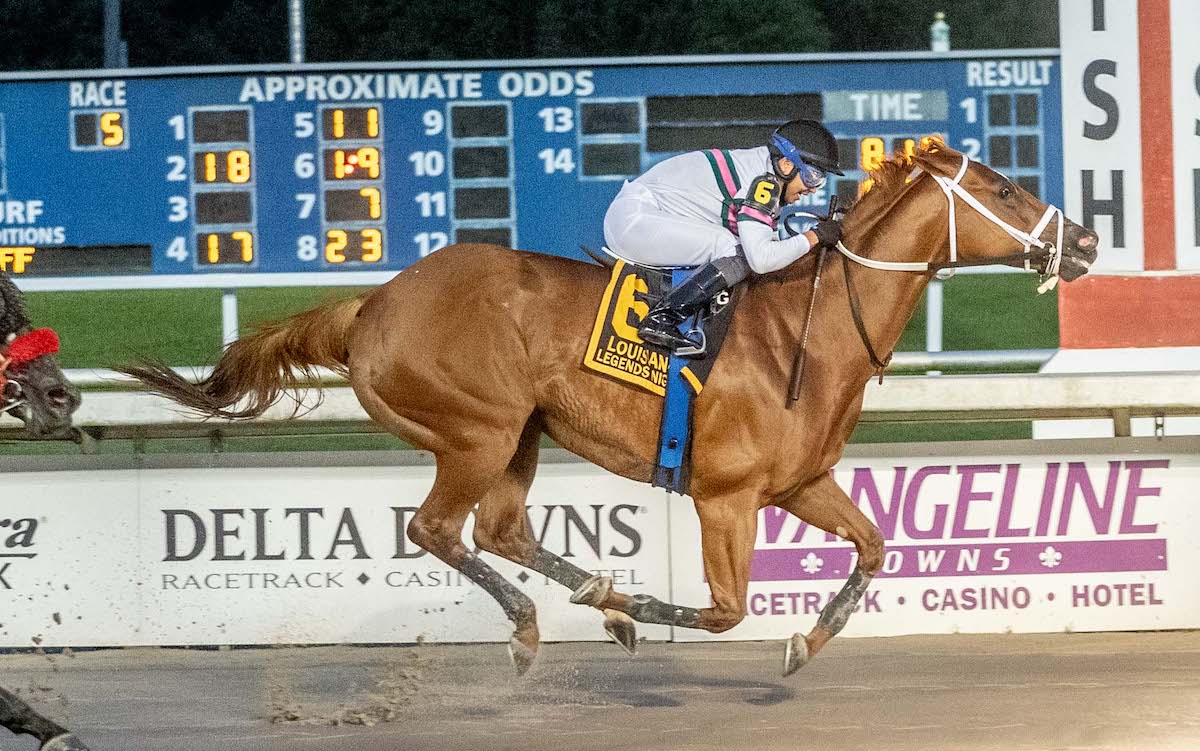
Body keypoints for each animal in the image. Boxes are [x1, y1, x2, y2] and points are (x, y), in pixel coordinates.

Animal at [121, 140, 1099, 671]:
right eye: (1004, 189)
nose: (1085, 239)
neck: (807, 330)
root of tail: (375, 302)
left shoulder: (799, 482)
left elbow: (873, 547)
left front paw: (803, 642)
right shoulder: (726, 496)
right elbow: (725, 610)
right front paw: (652, 609)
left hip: (520, 435)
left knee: (500, 529)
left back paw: (592, 596)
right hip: (477, 429)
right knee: (439, 529)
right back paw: (543, 624)